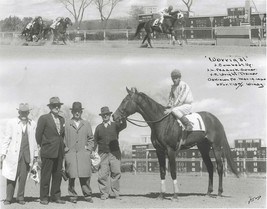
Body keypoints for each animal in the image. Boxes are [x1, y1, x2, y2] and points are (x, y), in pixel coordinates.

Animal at [113, 87, 241, 200]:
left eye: (124, 101)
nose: (114, 116)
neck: (162, 122)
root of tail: (215, 119)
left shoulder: (171, 151)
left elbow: (173, 172)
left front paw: (175, 195)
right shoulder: (159, 151)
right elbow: (162, 172)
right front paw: (161, 195)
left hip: (216, 147)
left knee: (219, 167)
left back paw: (219, 192)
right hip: (203, 148)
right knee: (210, 167)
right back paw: (208, 192)